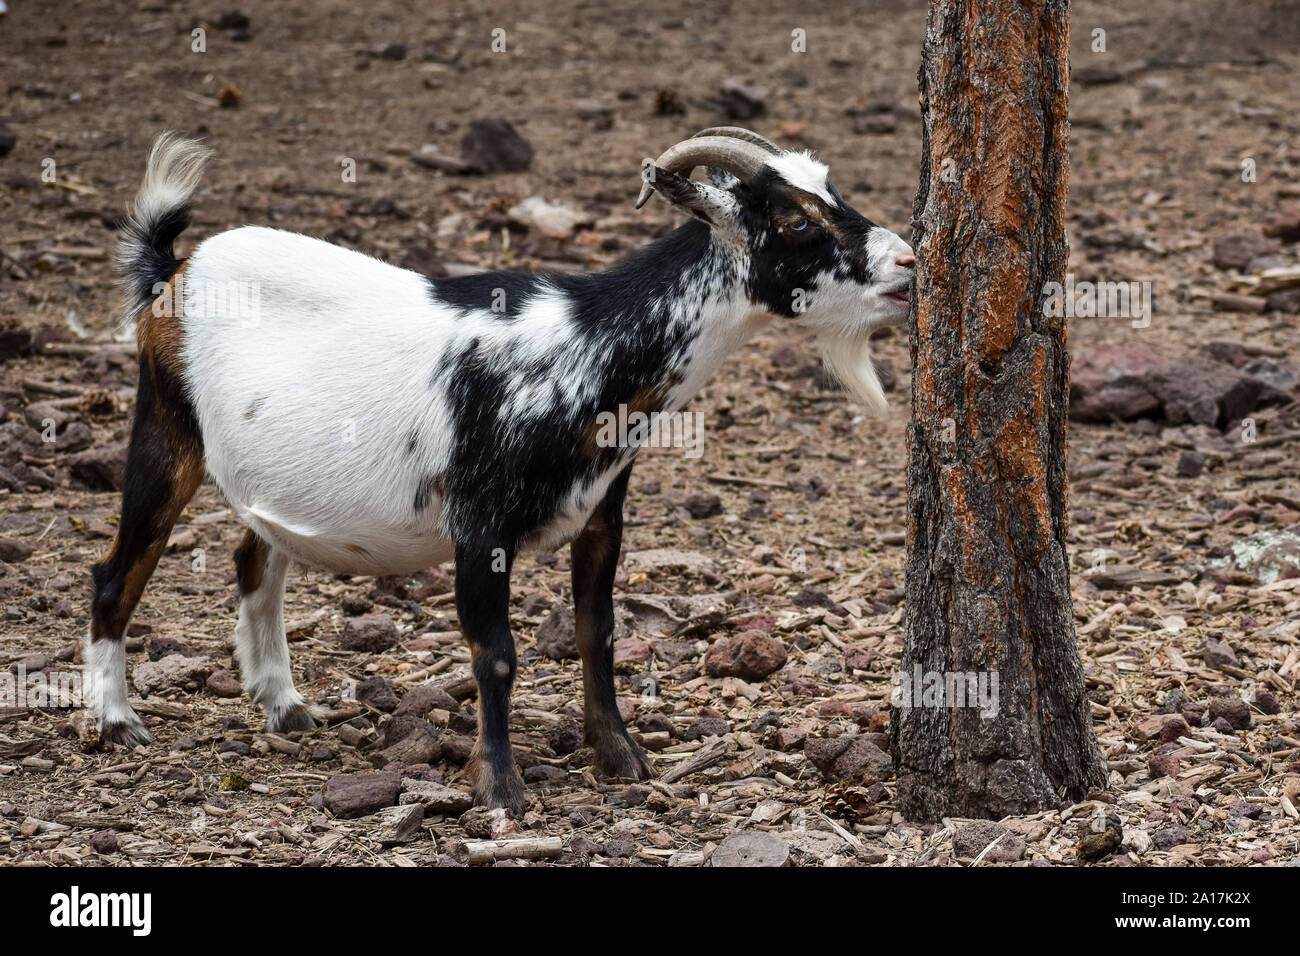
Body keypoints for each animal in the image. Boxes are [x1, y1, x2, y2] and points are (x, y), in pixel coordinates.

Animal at [89, 127, 915, 813]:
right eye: (796, 219)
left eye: (830, 192)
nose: (908, 262)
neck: (586, 344)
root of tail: (175, 266)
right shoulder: (478, 524)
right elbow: (496, 655)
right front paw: (500, 787)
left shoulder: (603, 509)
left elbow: (596, 631)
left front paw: (622, 759)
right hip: (164, 428)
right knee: (117, 571)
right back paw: (115, 720)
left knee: (254, 558)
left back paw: (283, 704)